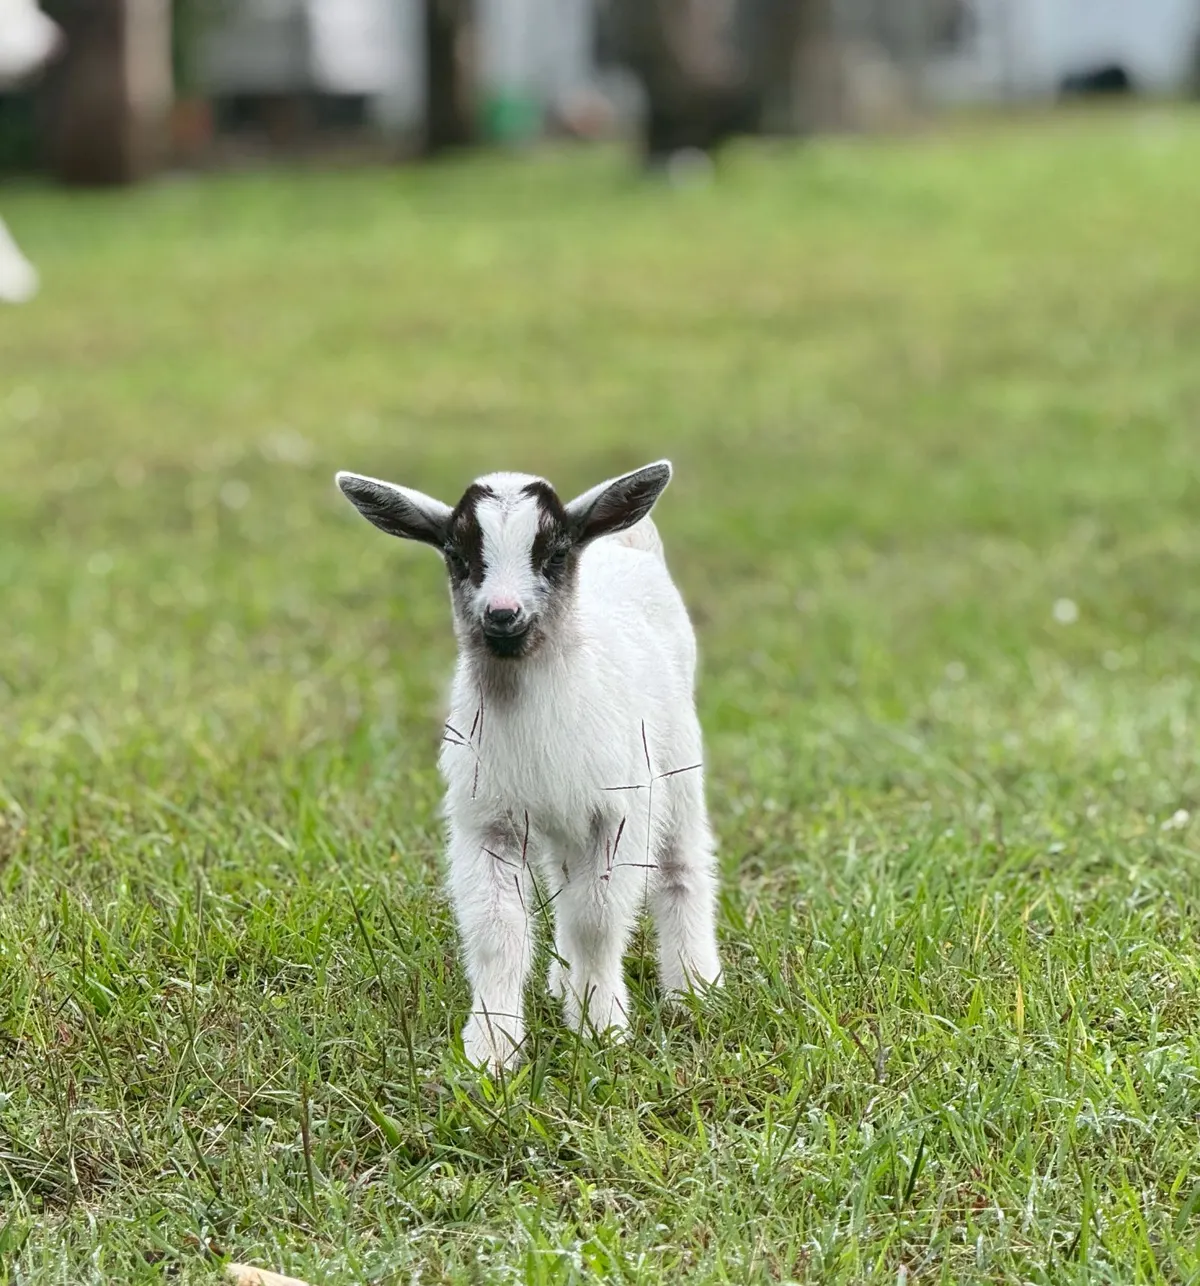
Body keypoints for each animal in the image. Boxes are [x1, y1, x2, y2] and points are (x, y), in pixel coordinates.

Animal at [336, 460, 722, 1070]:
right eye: (458, 554)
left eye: (555, 553)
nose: (502, 614)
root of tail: (627, 544)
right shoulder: (489, 820)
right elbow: (499, 929)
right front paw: (491, 1049)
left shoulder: (617, 813)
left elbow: (598, 920)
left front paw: (600, 1027)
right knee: (564, 884)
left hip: (678, 765)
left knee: (682, 867)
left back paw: (694, 988)